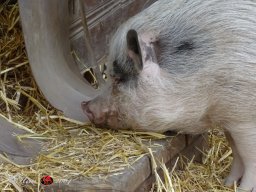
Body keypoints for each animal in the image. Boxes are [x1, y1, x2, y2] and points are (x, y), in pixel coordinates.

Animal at [81, 0, 256, 191]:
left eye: (118, 79)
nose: (85, 106)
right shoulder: (228, 116)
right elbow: (237, 152)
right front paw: (227, 183)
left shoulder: (244, 119)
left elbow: (249, 157)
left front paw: (242, 189)